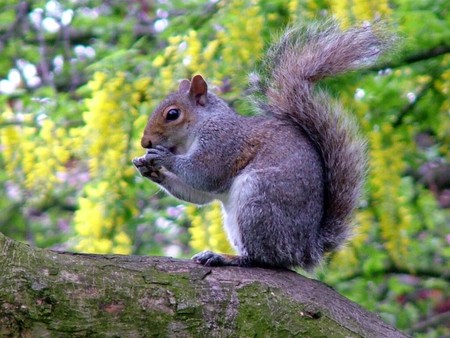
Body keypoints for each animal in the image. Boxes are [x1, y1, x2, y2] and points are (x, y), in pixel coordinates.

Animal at [132, 19, 392, 270]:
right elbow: (200, 194)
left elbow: (205, 174)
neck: (196, 130)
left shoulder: (223, 142)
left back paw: (226, 258)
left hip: (258, 201)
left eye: (173, 114)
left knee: (263, 258)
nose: (145, 142)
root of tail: (306, 248)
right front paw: (147, 168)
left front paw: (163, 157)